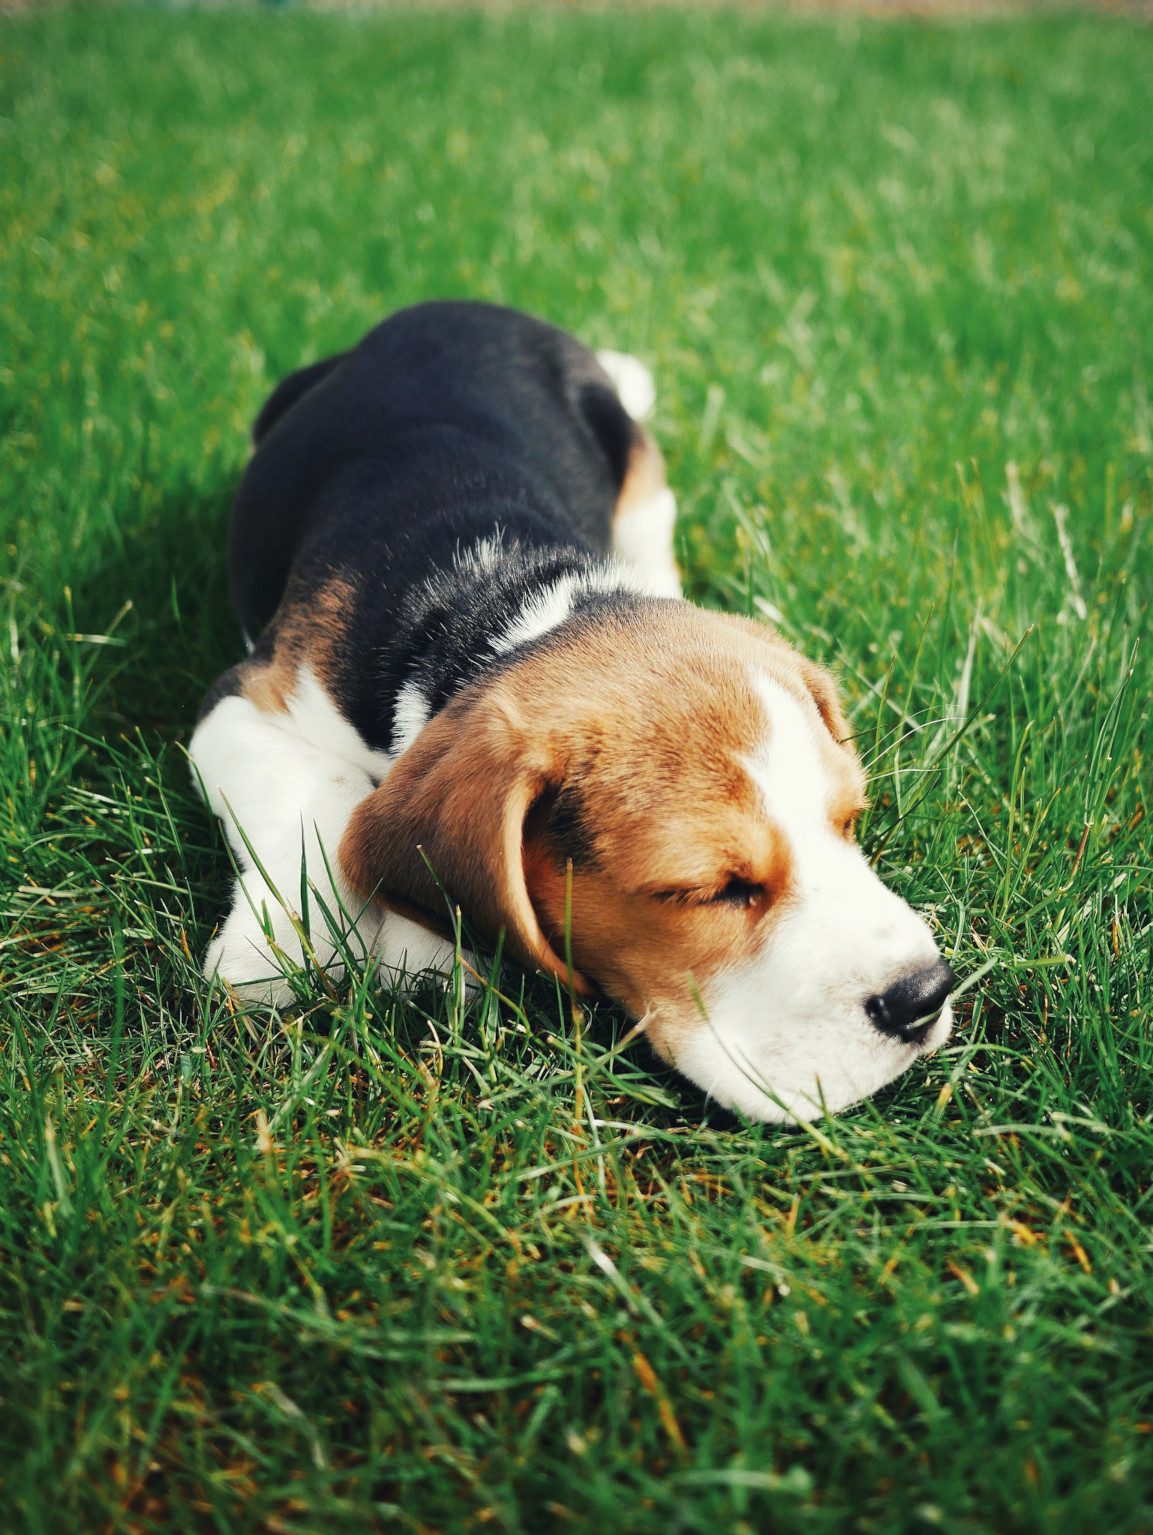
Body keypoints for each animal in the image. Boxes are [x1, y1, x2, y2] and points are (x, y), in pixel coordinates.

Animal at [191, 299, 958, 1123]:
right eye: (704, 889)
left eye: (848, 822)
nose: (924, 994)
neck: (507, 602)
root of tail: (463, 306)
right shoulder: (243, 703)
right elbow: (325, 799)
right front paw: (275, 950)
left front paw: (413, 945)